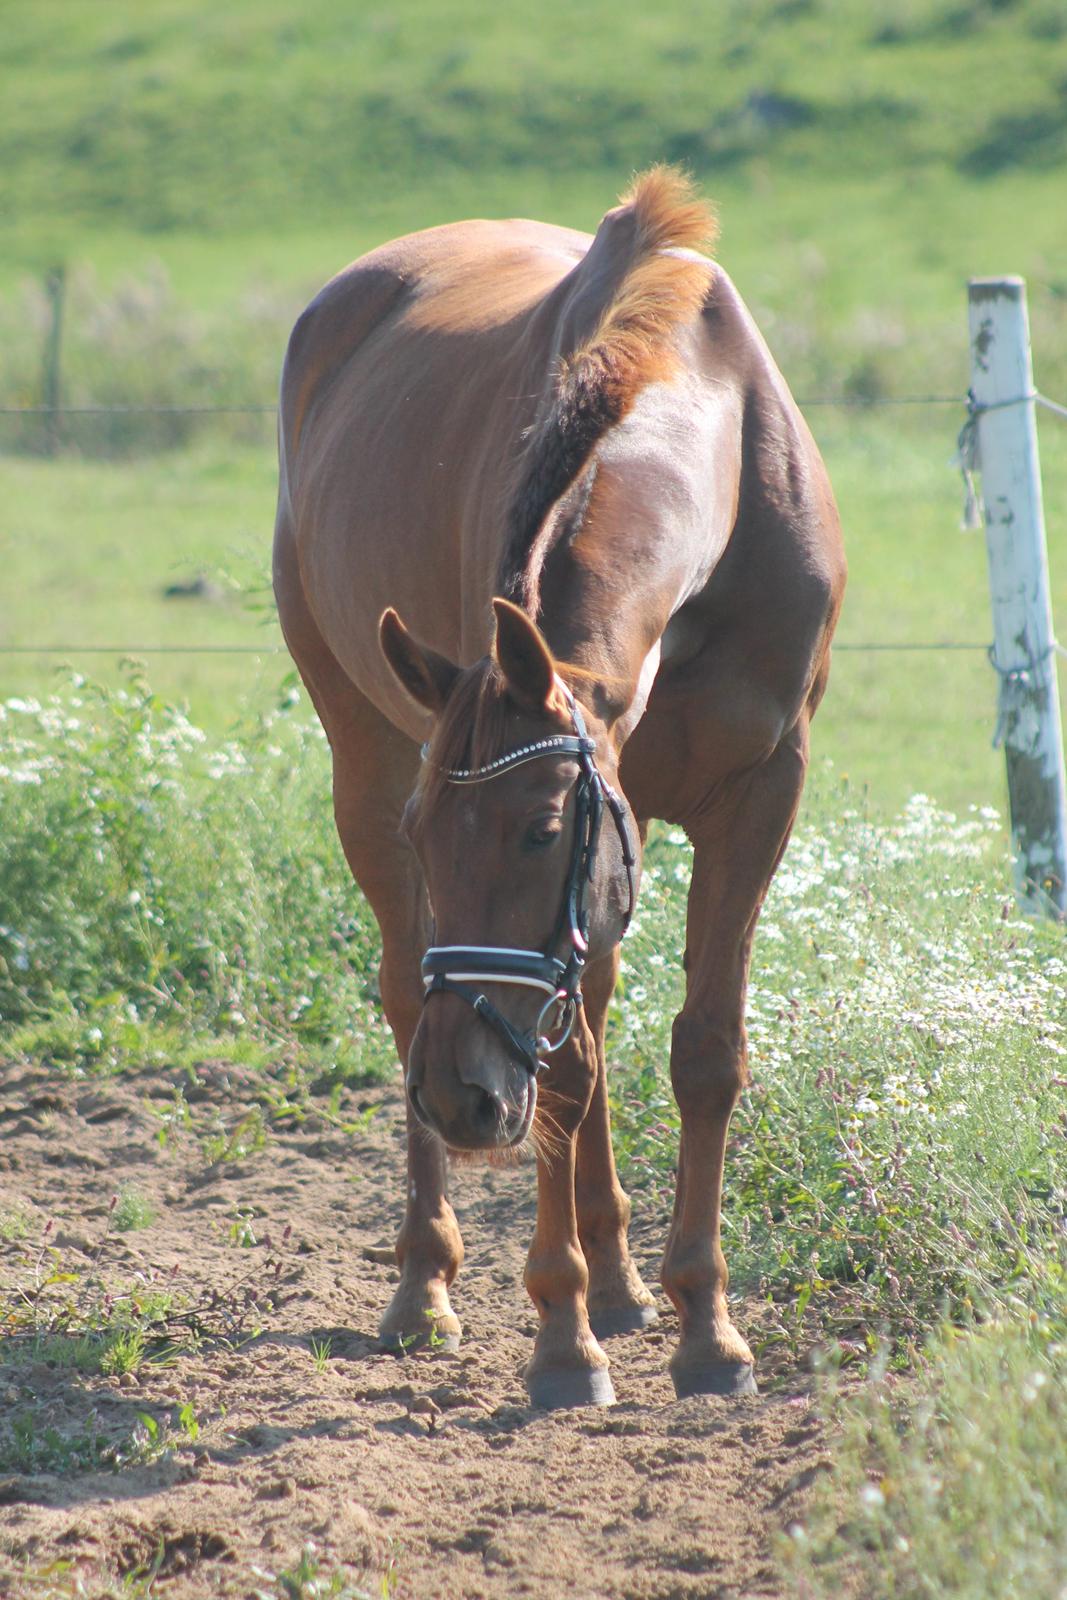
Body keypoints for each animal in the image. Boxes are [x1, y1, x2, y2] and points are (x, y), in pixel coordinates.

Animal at [279, 168, 844, 1408]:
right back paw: (427, 1285)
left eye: (541, 831)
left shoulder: (757, 795)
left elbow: (702, 1052)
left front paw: (702, 1326)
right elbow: (570, 1068)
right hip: (360, 760)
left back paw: (625, 1280)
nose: (459, 1096)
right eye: (426, 832)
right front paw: (560, 1336)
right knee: (414, 995)